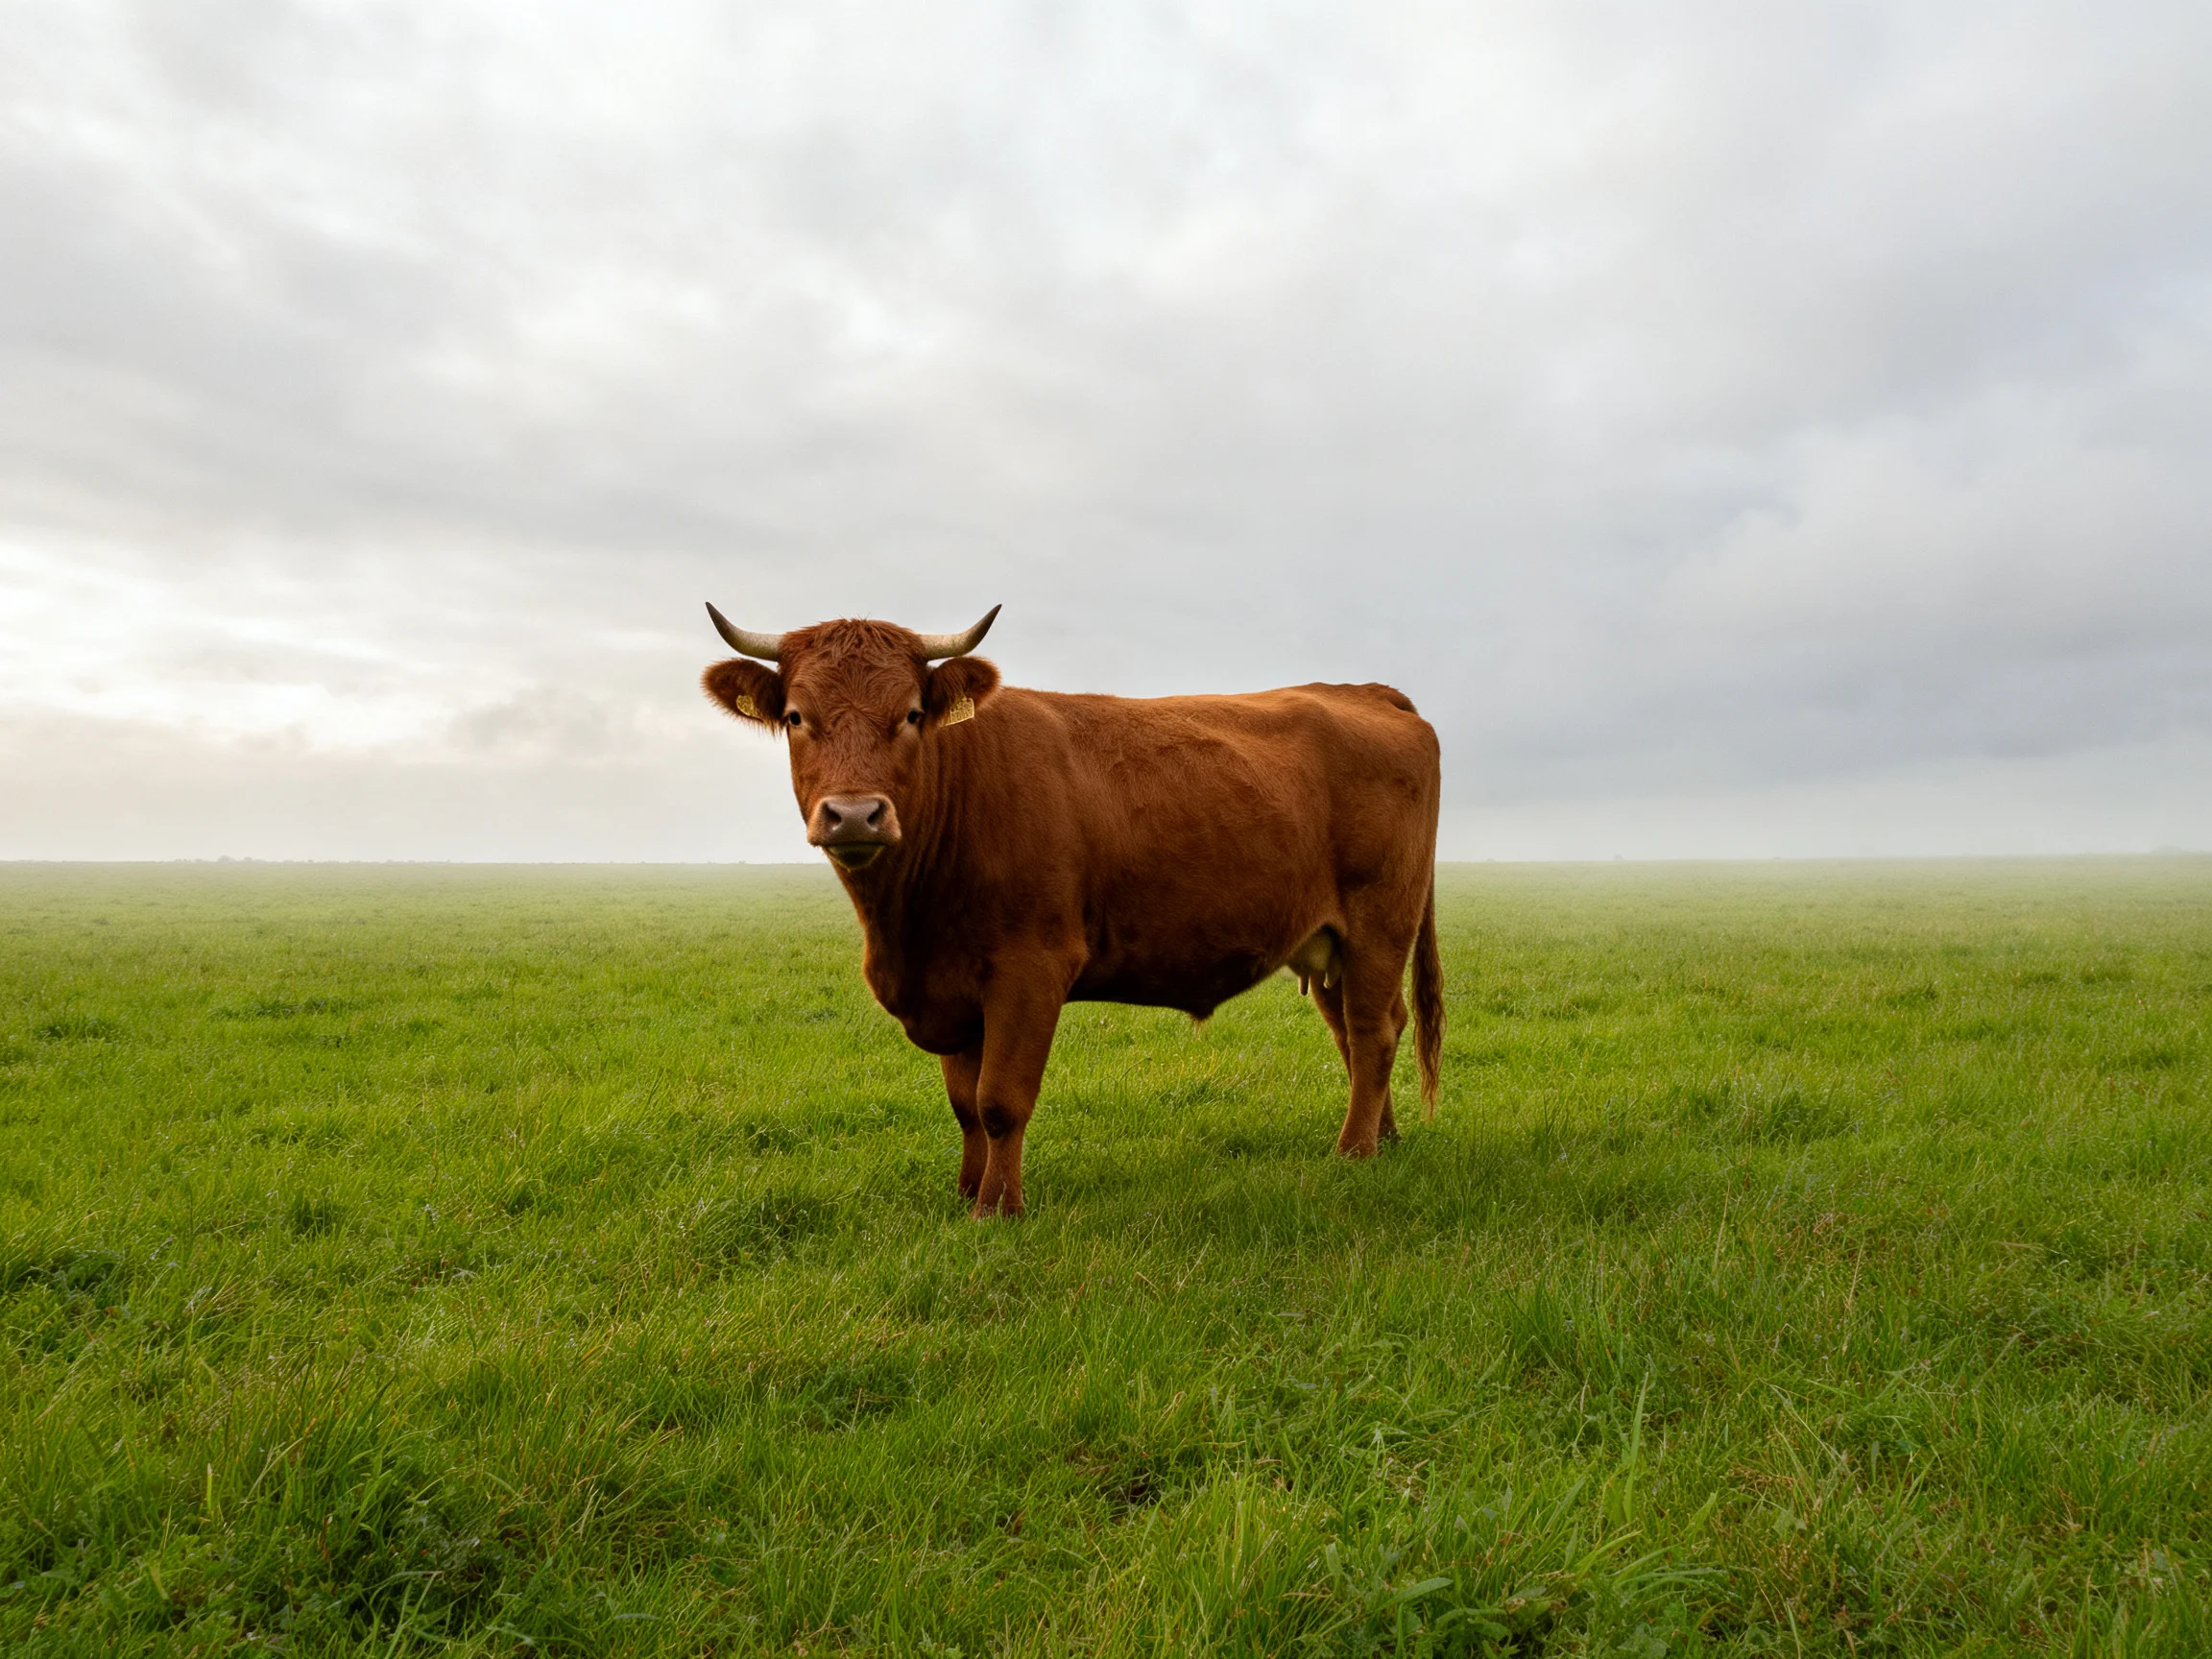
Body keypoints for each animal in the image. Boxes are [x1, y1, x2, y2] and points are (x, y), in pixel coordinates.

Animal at [701, 604, 1444, 1217]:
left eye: (911, 713)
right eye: (797, 717)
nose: (855, 814)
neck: (907, 923)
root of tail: (1365, 691)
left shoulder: (1030, 968)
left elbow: (1000, 1101)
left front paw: (997, 1210)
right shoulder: (952, 985)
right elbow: (964, 1105)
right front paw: (966, 1194)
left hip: (1379, 924)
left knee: (1372, 1031)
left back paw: (1353, 1153)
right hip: (1328, 942)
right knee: (1358, 1031)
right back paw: (1385, 1138)